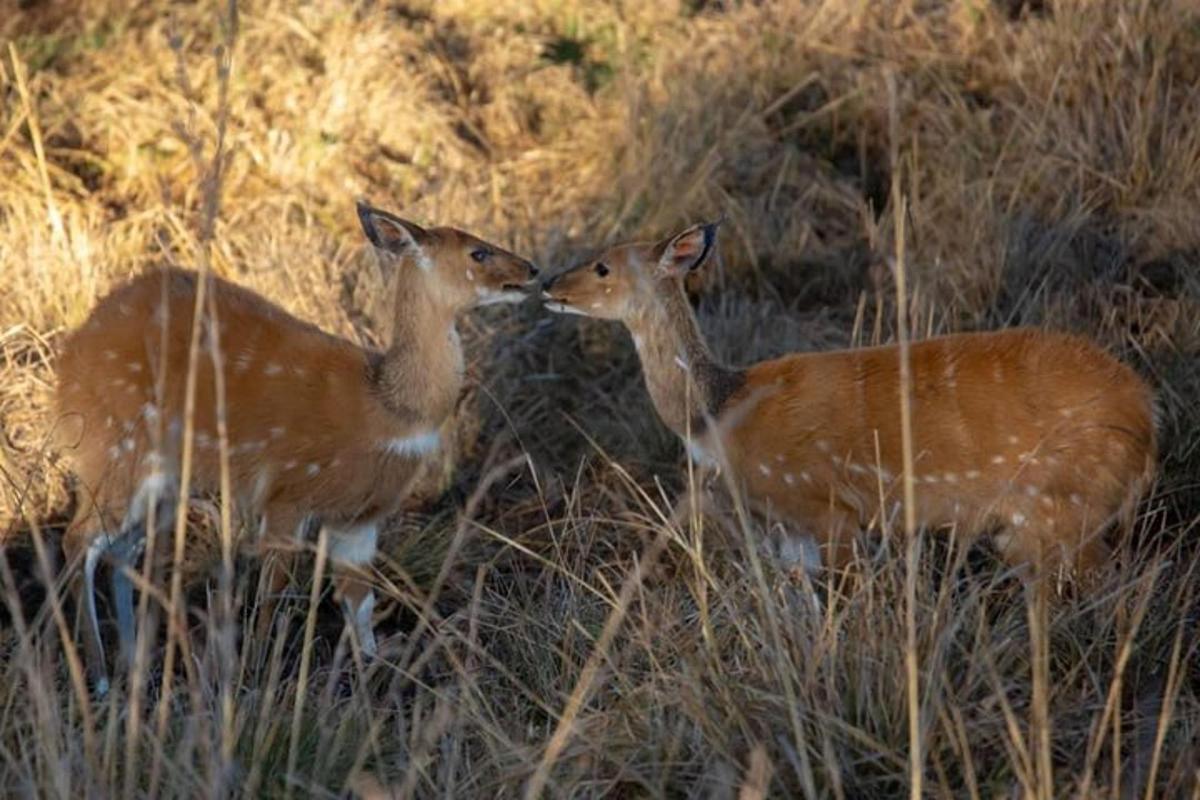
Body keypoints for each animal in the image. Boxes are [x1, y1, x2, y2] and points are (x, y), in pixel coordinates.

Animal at [56, 200, 540, 695]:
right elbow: (274, 594)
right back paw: (98, 677)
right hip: (119, 453)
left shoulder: (358, 521)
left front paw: (373, 673)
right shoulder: (285, 497)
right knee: (77, 540)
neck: (388, 410)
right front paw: (253, 678)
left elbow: (359, 602)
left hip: (165, 483)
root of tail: (70, 358)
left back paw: (134, 664)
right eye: (478, 253)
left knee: (121, 550)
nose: (532, 270)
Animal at [540, 219, 1156, 587]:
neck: (719, 414)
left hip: (1055, 509)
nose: (547, 285)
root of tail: (1148, 418)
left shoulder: (826, 508)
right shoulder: (792, 533)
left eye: (602, 265)